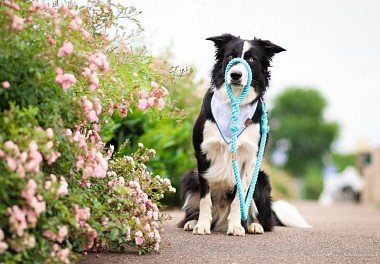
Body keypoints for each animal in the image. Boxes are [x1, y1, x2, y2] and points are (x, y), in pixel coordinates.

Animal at [180, 33, 310, 237]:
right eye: (230, 56)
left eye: (251, 59)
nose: (235, 74)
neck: (234, 103)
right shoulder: (203, 156)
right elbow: (205, 198)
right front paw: (201, 225)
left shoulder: (250, 158)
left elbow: (238, 200)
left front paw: (235, 226)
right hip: (191, 176)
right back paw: (193, 221)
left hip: (262, 181)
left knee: (264, 220)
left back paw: (253, 225)